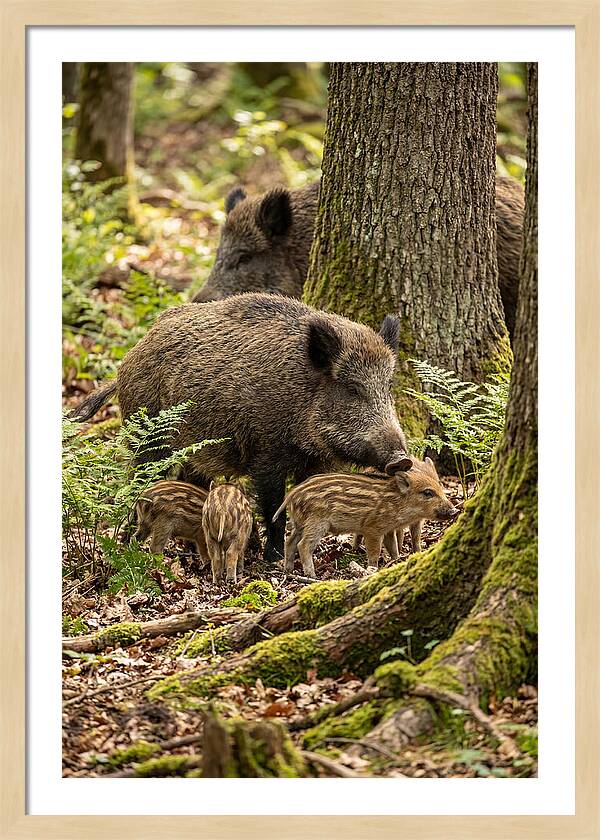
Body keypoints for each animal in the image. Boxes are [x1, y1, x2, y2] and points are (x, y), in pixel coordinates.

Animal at [71, 293, 408, 564]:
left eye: (388, 386)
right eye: (352, 389)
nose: (402, 459)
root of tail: (128, 359)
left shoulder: (316, 463)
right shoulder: (266, 454)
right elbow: (273, 507)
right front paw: (273, 558)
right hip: (149, 437)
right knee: (137, 482)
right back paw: (128, 542)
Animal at [273, 455, 458, 578]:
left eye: (440, 486)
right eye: (427, 492)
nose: (454, 511)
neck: (397, 502)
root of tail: (292, 494)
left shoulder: (388, 529)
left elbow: (392, 547)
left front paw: (397, 561)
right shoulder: (372, 529)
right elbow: (374, 552)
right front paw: (372, 569)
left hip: (300, 523)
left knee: (290, 542)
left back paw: (288, 570)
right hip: (316, 523)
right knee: (303, 545)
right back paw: (312, 576)